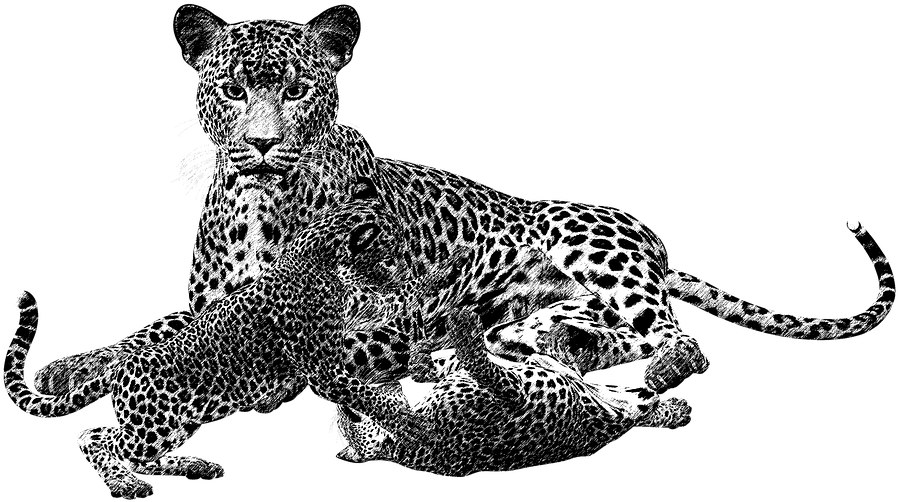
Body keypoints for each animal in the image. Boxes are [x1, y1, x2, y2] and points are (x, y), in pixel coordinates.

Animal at [6, 202, 438, 499]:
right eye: (389, 254)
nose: (411, 275)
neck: (323, 262)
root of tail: (120, 367)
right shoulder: (324, 367)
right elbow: (365, 391)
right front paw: (414, 421)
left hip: (178, 423)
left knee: (118, 442)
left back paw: (196, 467)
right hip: (152, 426)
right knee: (94, 439)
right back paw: (125, 484)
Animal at [31, 3, 895, 444]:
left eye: (299, 91)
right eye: (234, 90)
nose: (264, 143)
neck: (258, 208)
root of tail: (649, 236)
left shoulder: (372, 313)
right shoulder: (212, 306)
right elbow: (149, 331)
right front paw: (72, 368)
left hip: (589, 248)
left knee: (680, 344)